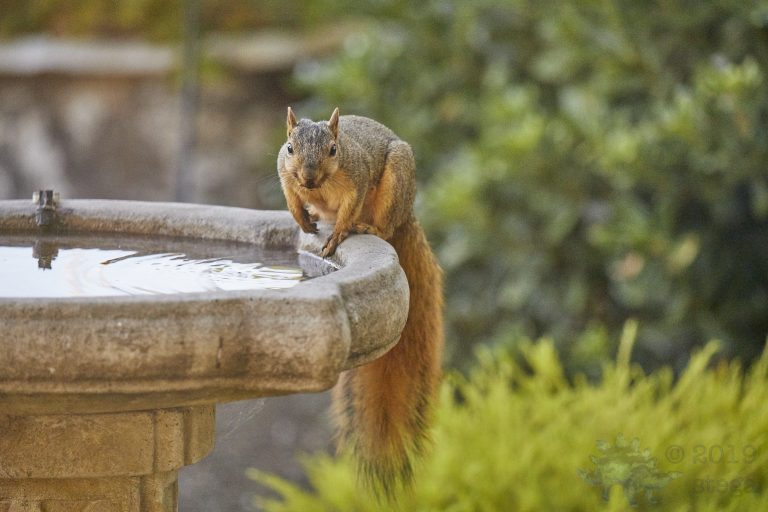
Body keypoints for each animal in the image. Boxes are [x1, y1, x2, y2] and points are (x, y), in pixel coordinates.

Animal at [277, 107, 444, 496]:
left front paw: (338, 232)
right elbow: (290, 195)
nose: (308, 178)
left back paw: (366, 228)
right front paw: (301, 217)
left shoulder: (357, 179)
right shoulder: (284, 172)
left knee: (383, 225)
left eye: (334, 150)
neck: (321, 187)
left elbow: (348, 208)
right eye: (290, 148)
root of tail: (408, 214)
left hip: (396, 182)